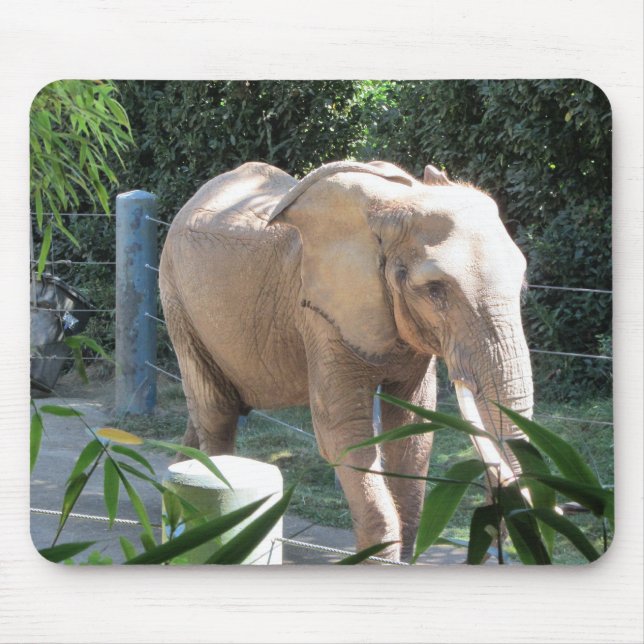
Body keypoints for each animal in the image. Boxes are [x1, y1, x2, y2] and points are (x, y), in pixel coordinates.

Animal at [159, 160, 533, 562]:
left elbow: (412, 428)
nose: (497, 525)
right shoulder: (321, 315)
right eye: (435, 290)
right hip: (176, 296)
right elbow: (343, 432)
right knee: (216, 411)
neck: (395, 207)